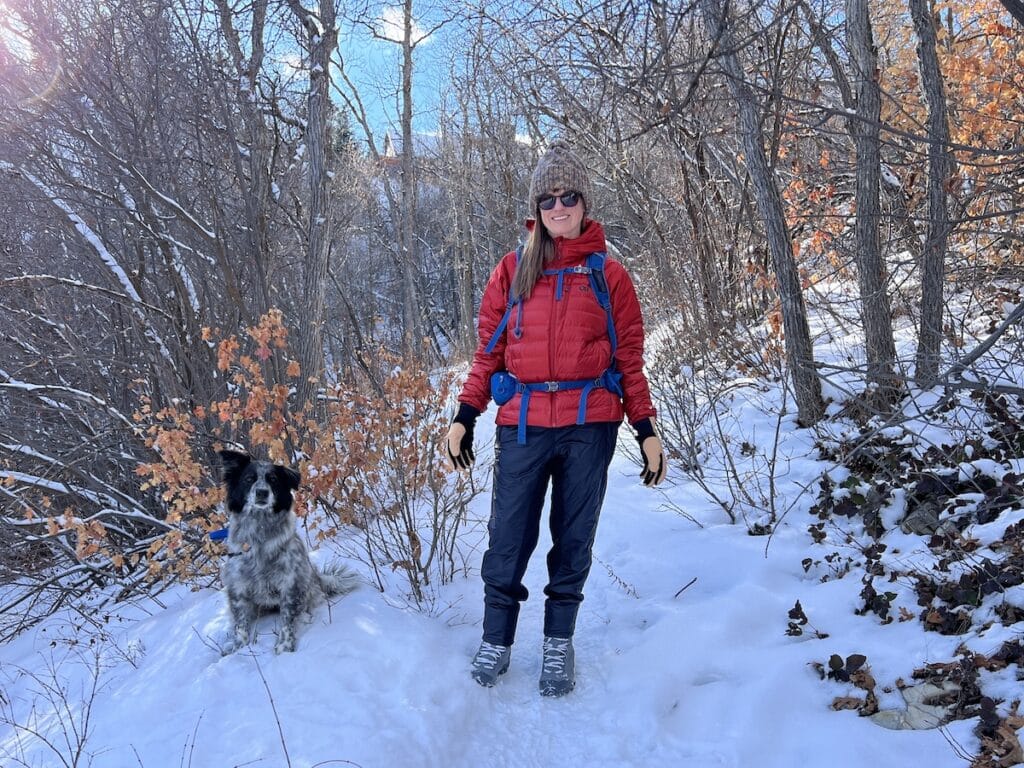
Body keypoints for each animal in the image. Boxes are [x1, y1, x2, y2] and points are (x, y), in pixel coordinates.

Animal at [218, 450, 358, 655]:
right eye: (249, 479)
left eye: (273, 480)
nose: (262, 492)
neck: (260, 535)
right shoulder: (238, 586)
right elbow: (241, 624)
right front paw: (238, 647)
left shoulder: (291, 583)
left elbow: (287, 620)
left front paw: (284, 647)